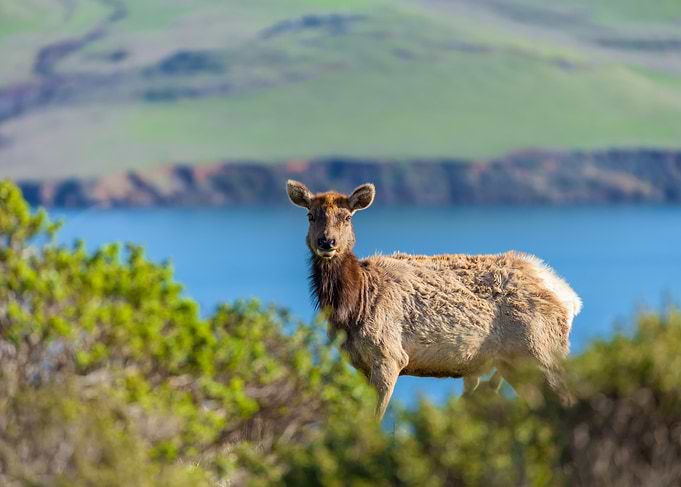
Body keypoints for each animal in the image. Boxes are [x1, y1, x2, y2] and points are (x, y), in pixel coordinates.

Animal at [286, 180, 582, 419]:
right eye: (310, 215)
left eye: (347, 217)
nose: (327, 242)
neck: (354, 307)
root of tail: (569, 298)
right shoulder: (358, 362)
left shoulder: (390, 354)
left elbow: (375, 420)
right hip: (513, 363)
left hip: (542, 350)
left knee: (567, 399)